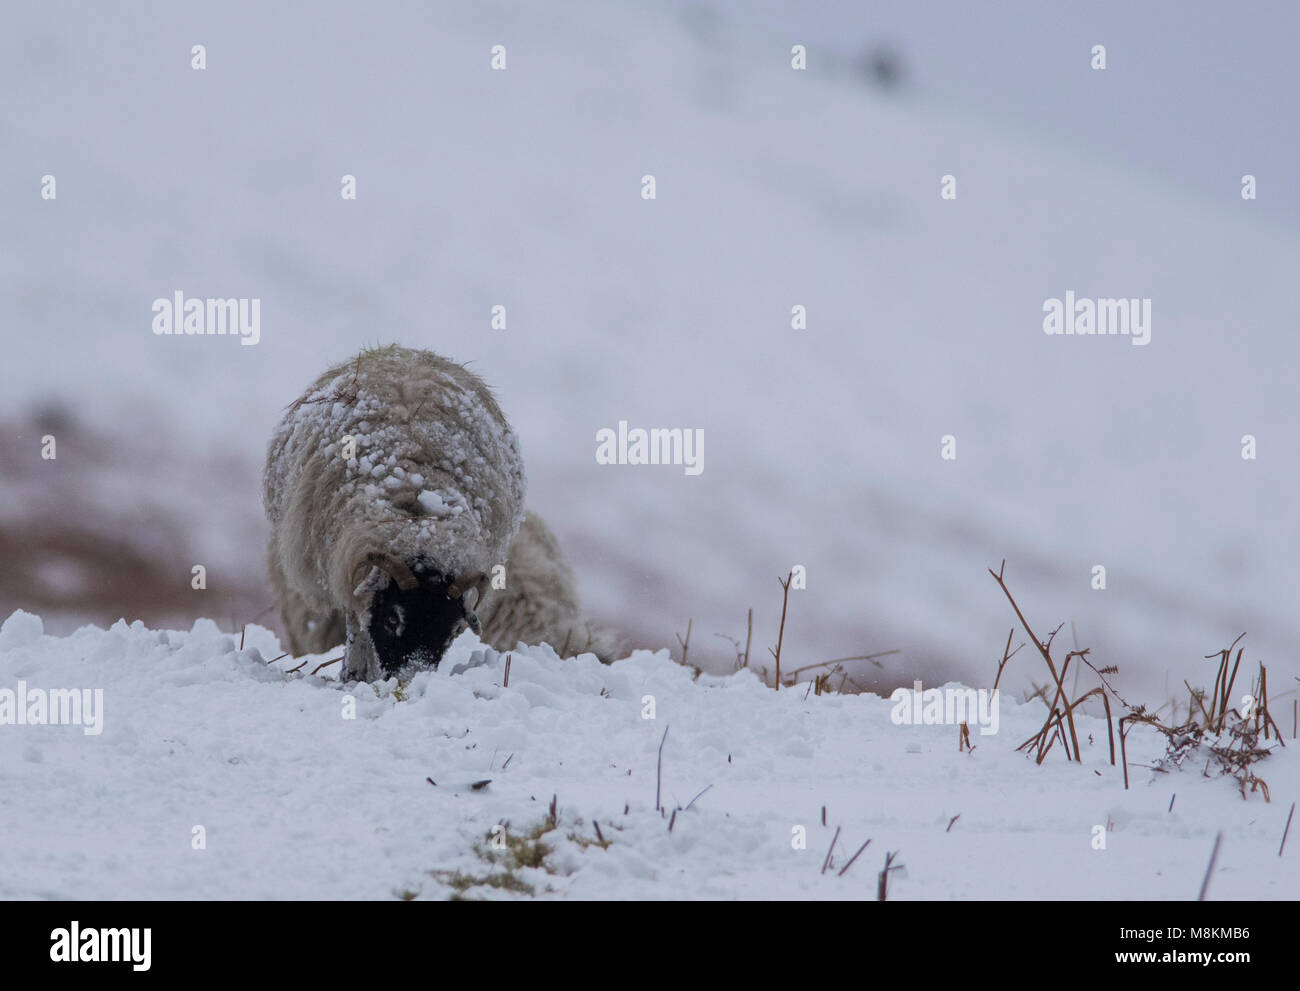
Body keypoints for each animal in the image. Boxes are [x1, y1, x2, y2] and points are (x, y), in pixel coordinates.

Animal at [264, 345, 616, 681]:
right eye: (392, 620)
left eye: (450, 630)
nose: (409, 681)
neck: (419, 519)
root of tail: (400, 352)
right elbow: (358, 628)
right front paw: (354, 675)